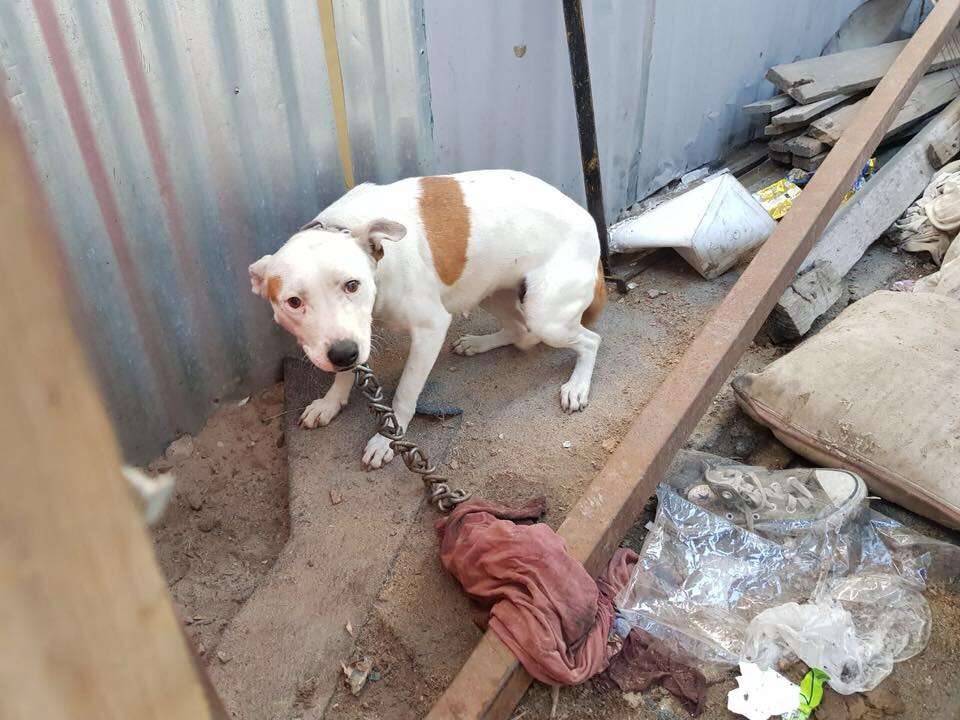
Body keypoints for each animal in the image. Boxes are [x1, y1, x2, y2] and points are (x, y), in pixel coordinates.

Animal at [251, 172, 604, 470]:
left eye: (352, 285)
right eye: (293, 302)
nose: (343, 354)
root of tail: (589, 221)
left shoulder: (429, 329)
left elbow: (405, 393)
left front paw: (388, 440)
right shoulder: (351, 338)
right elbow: (347, 373)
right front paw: (330, 402)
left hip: (547, 315)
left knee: (588, 340)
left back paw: (577, 386)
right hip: (489, 291)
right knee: (521, 331)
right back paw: (477, 344)